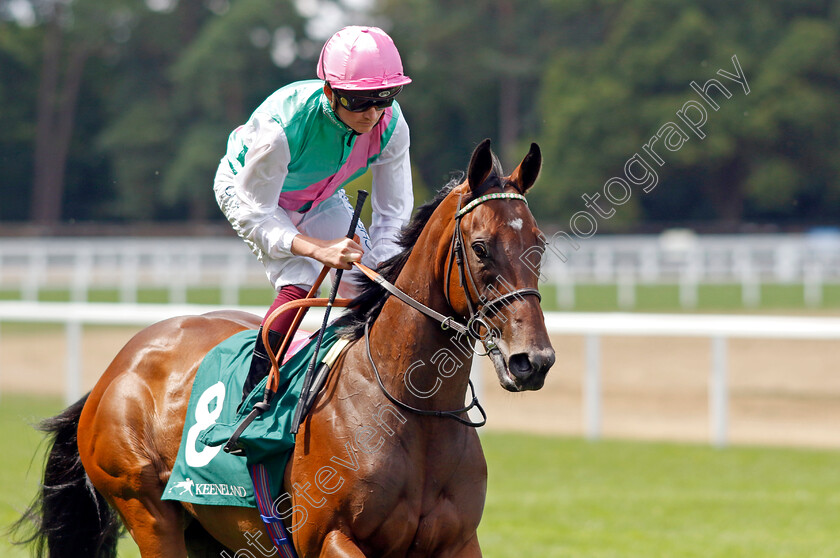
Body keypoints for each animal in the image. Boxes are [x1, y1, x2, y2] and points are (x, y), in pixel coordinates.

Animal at [16, 140, 556, 558]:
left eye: (541, 243)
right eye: (481, 247)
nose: (532, 361)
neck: (411, 411)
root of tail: (118, 366)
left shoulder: (458, 542)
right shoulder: (329, 538)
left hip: (211, 532)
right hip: (147, 511)